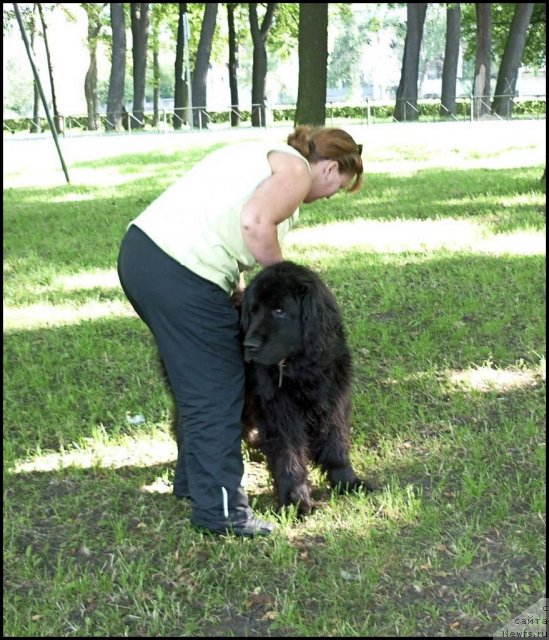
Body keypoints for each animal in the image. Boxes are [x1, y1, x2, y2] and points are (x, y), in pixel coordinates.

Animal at [238, 260, 370, 516]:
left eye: (279, 310)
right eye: (254, 310)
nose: (249, 345)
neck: (303, 369)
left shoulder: (334, 405)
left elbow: (336, 446)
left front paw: (347, 482)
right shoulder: (280, 416)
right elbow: (289, 459)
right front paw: (296, 502)